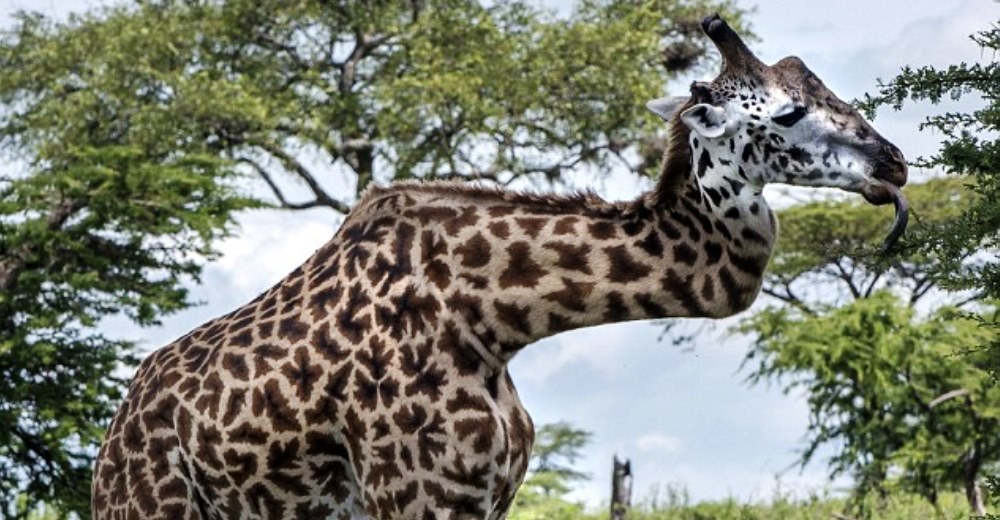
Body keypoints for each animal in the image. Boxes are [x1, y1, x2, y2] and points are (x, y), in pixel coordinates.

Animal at [94, 14, 908, 520]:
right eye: (787, 113)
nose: (893, 162)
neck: (495, 318)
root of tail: (115, 432)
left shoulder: (489, 493)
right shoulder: (417, 495)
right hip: (147, 506)